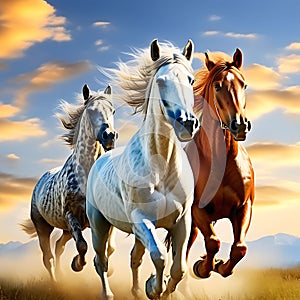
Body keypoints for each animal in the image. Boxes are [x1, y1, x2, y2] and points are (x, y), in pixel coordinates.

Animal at [86, 39, 199, 300]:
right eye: (161, 81)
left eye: (190, 80)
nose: (187, 123)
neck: (161, 167)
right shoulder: (142, 220)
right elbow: (159, 256)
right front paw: (155, 287)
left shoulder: (182, 222)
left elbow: (179, 268)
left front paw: (161, 289)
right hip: (99, 225)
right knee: (101, 261)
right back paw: (109, 294)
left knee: (134, 258)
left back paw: (136, 291)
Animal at [186, 49, 254, 278]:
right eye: (217, 86)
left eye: (244, 85)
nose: (239, 125)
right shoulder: (197, 209)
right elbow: (213, 242)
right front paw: (203, 267)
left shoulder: (243, 207)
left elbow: (239, 248)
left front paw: (220, 267)